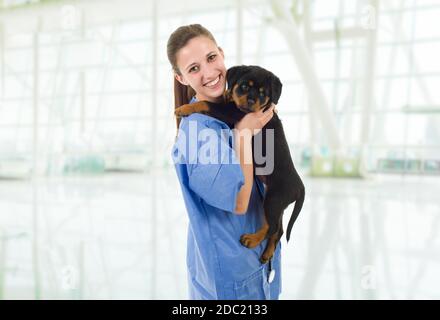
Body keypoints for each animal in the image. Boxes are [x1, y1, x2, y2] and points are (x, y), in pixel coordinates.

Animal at [174, 65, 304, 264]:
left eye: (263, 93)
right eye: (244, 86)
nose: (250, 101)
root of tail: (300, 186)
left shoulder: (232, 113)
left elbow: (207, 104)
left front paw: (185, 108)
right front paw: (227, 92)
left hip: (274, 200)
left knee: (273, 227)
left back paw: (252, 239)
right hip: (277, 203)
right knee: (278, 229)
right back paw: (267, 253)